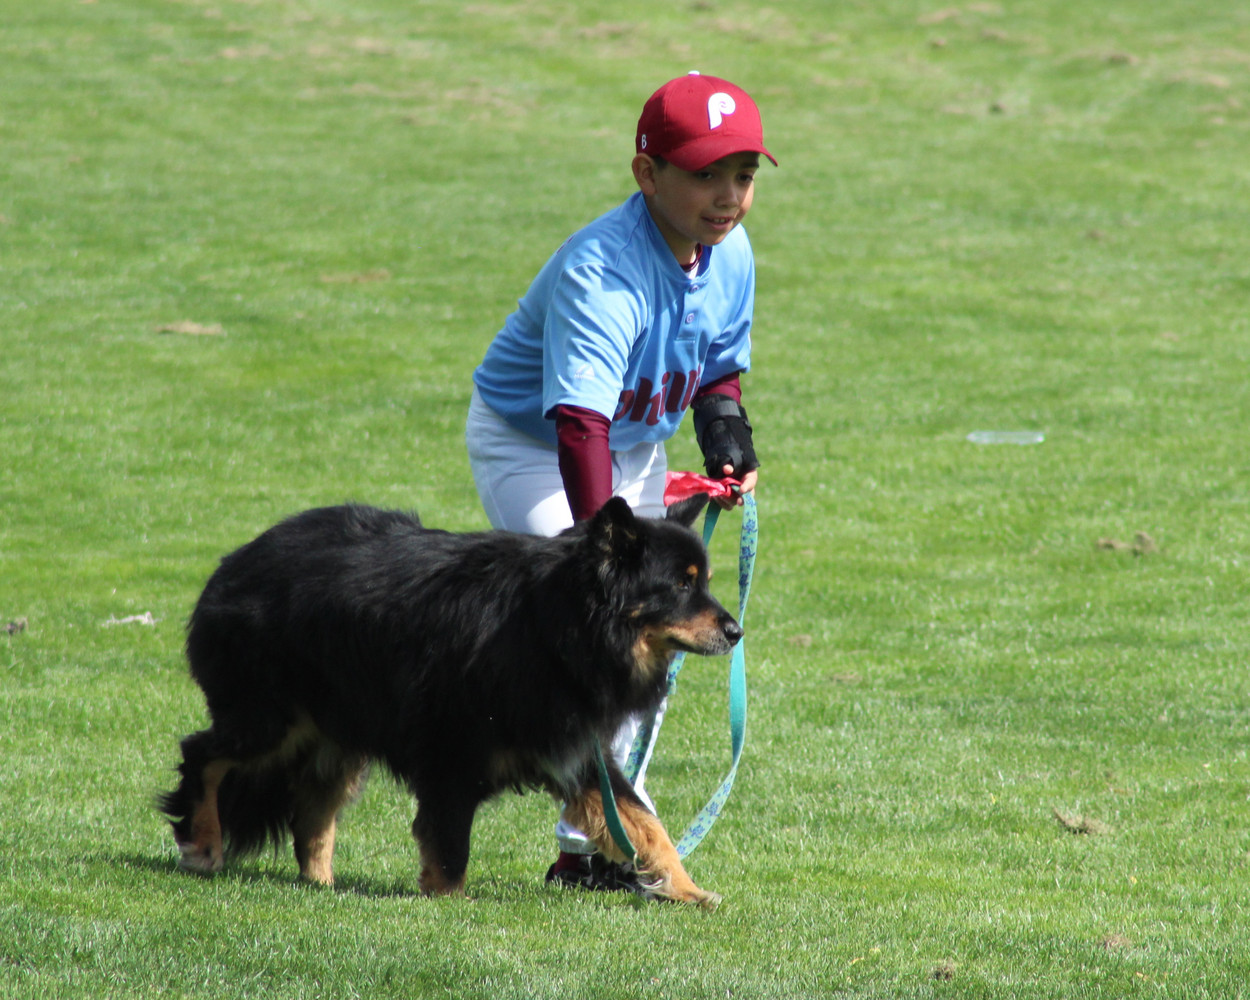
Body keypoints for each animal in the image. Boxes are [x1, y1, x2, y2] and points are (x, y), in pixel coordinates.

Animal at [160, 495, 740, 908]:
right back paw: (204, 845)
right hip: (272, 719)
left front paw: (686, 889)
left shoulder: (575, 751)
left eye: (704, 582)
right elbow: (450, 847)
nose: (736, 631)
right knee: (202, 753)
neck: (554, 625)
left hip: (338, 731)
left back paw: (322, 886)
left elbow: (645, 824)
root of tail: (237, 560)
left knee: (312, 815)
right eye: (680, 586)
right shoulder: (452, 754)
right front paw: (447, 906)